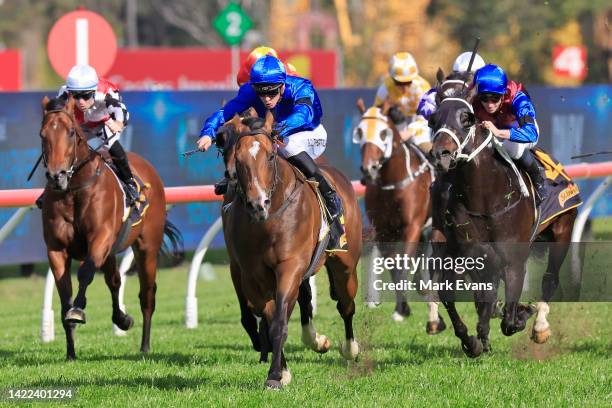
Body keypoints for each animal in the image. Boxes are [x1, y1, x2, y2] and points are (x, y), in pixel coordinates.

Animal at [38, 97, 180, 358]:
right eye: (43, 134)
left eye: (71, 132)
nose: (56, 176)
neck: (74, 189)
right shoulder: (56, 249)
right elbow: (64, 294)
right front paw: (71, 352)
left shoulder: (100, 239)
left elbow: (85, 273)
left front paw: (78, 310)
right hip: (111, 252)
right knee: (114, 281)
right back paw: (122, 320)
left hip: (146, 247)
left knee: (147, 294)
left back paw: (145, 346)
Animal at [215, 111, 360, 388]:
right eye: (237, 158)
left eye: (270, 156)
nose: (258, 203)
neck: (268, 221)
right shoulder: (252, 275)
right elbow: (272, 318)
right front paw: (281, 371)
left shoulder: (290, 266)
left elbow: (280, 320)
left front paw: (274, 376)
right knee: (305, 301)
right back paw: (315, 340)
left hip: (345, 265)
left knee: (346, 305)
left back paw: (350, 349)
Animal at [354, 99, 444, 334]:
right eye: (359, 132)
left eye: (383, 133)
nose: (368, 169)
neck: (392, 183)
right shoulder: (382, 231)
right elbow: (394, 266)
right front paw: (402, 309)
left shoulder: (411, 227)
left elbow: (402, 264)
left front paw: (402, 310)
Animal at [428, 73, 576, 356]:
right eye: (433, 119)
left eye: (467, 118)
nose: (441, 154)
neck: (487, 199)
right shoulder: (466, 250)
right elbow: (458, 294)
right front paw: (474, 340)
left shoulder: (514, 259)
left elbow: (509, 318)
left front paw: (522, 313)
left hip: (563, 230)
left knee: (550, 279)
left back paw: (540, 326)